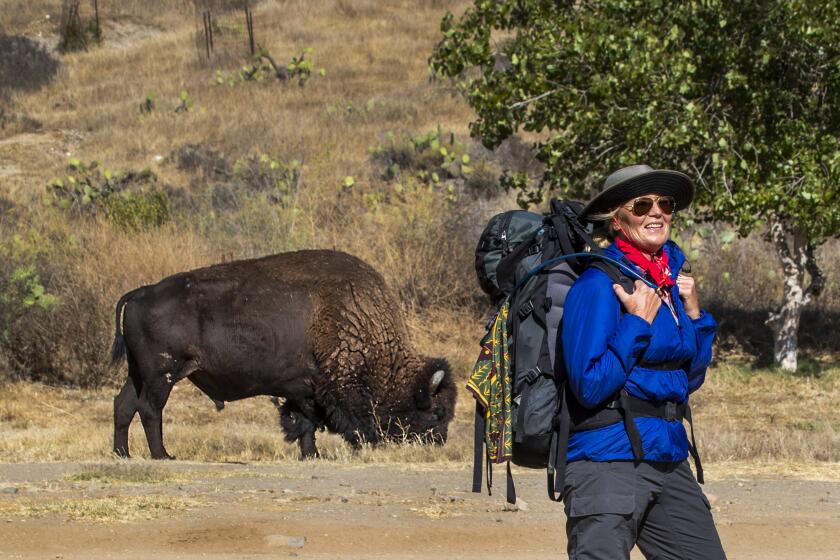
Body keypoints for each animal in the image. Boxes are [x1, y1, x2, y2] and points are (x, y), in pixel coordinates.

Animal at [110, 249, 460, 460]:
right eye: (436, 413)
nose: (438, 442)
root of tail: (141, 292)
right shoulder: (319, 390)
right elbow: (314, 421)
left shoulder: (302, 389)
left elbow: (304, 423)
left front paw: (311, 454)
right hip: (162, 376)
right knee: (149, 409)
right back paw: (162, 454)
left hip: (139, 375)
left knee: (124, 404)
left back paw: (122, 453)